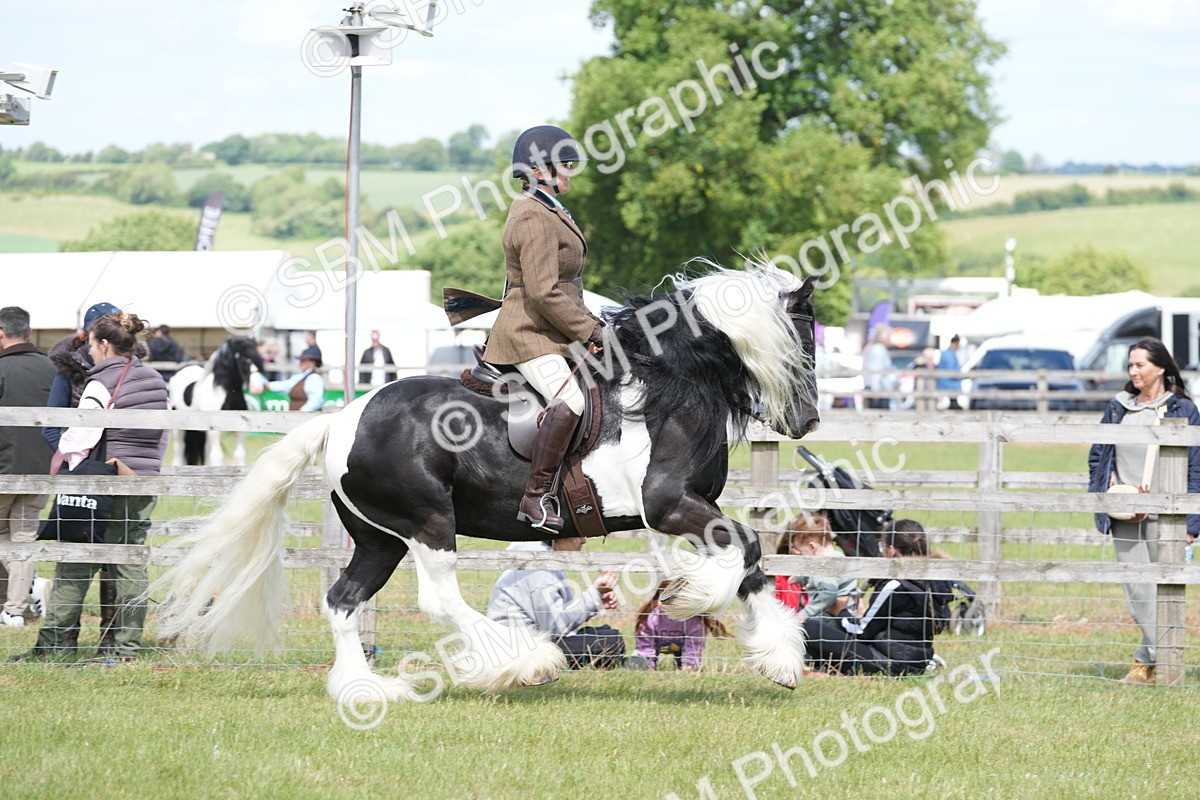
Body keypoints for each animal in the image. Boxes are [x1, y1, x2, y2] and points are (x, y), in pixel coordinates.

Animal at [167, 336, 265, 467]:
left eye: (259, 359)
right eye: (244, 360)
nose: (257, 388)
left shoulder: (239, 431)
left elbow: (239, 455)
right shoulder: (215, 432)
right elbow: (217, 456)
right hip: (180, 430)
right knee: (179, 449)